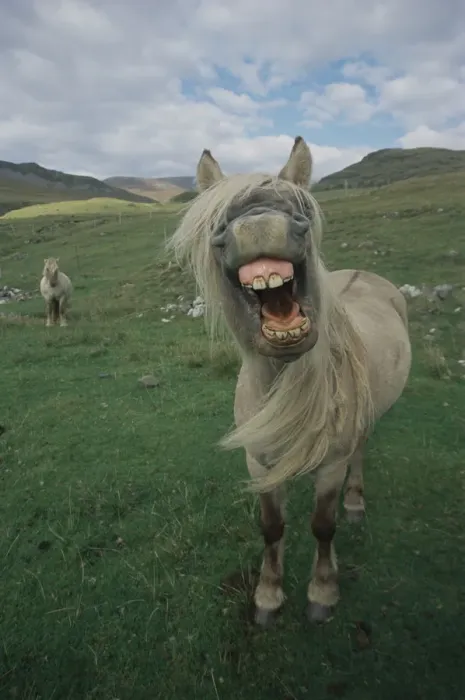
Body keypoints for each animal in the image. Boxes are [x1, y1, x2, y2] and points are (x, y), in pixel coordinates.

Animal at [167, 136, 412, 626]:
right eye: (217, 222)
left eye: (300, 208)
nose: (260, 226)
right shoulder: (258, 464)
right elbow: (271, 526)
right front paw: (267, 595)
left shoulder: (331, 465)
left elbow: (323, 526)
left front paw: (323, 592)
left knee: (360, 452)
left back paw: (355, 502)